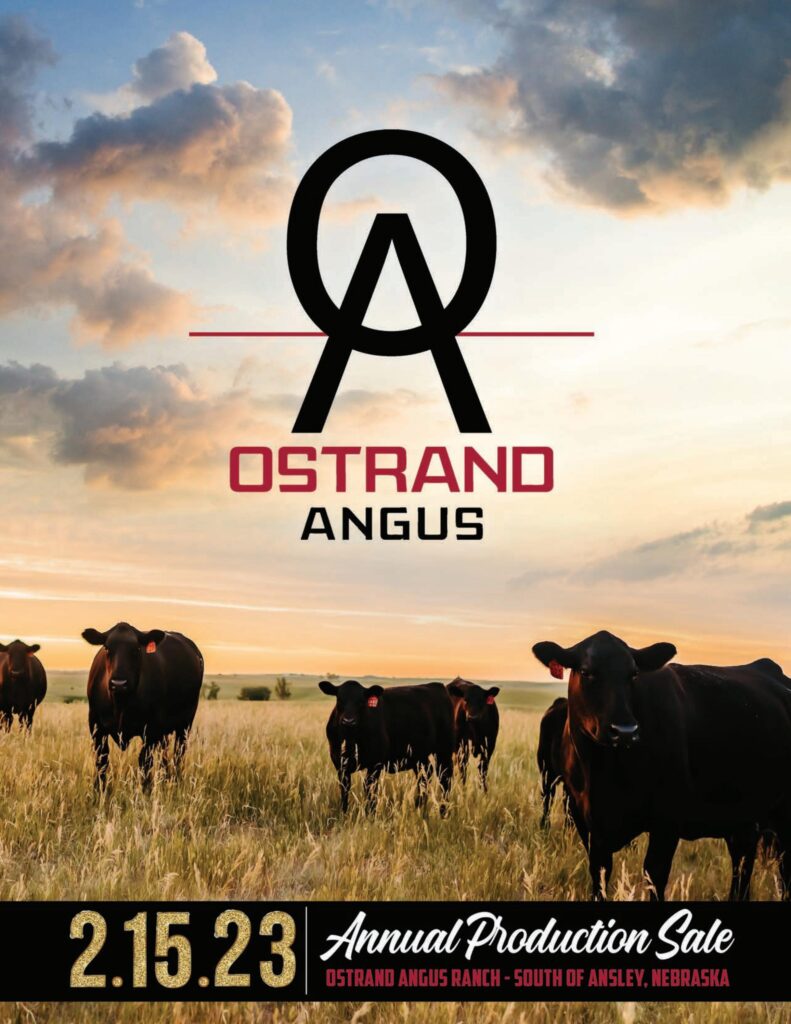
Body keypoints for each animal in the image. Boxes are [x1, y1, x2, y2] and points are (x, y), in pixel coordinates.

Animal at [82, 623, 203, 791]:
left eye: (136, 649)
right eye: (107, 648)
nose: (119, 683)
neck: (120, 704)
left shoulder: (151, 729)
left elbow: (144, 761)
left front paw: (145, 790)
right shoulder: (96, 725)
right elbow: (102, 760)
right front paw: (99, 790)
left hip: (185, 723)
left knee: (178, 753)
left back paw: (176, 781)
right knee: (164, 752)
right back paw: (165, 777)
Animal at [319, 679, 455, 815]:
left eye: (361, 702)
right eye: (339, 699)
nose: (348, 721)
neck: (352, 740)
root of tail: (436, 685)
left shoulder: (375, 763)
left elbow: (370, 789)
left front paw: (370, 815)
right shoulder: (341, 765)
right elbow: (344, 790)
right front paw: (344, 814)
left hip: (444, 749)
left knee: (444, 778)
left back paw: (443, 811)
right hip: (419, 755)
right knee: (425, 775)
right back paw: (419, 808)